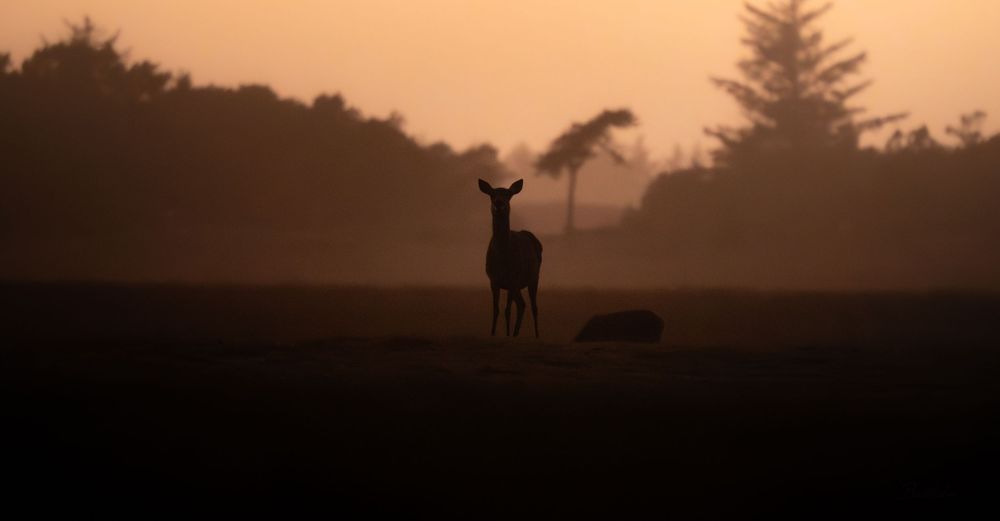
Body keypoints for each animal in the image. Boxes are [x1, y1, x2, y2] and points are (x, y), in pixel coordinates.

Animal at [478, 179, 542, 338]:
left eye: (508, 194)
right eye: (492, 194)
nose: (498, 203)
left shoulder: (513, 279)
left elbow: (508, 310)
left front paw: (507, 335)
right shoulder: (494, 280)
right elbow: (496, 310)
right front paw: (493, 334)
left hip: (534, 277)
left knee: (533, 306)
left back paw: (536, 335)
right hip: (518, 285)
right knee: (520, 304)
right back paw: (515, 333)